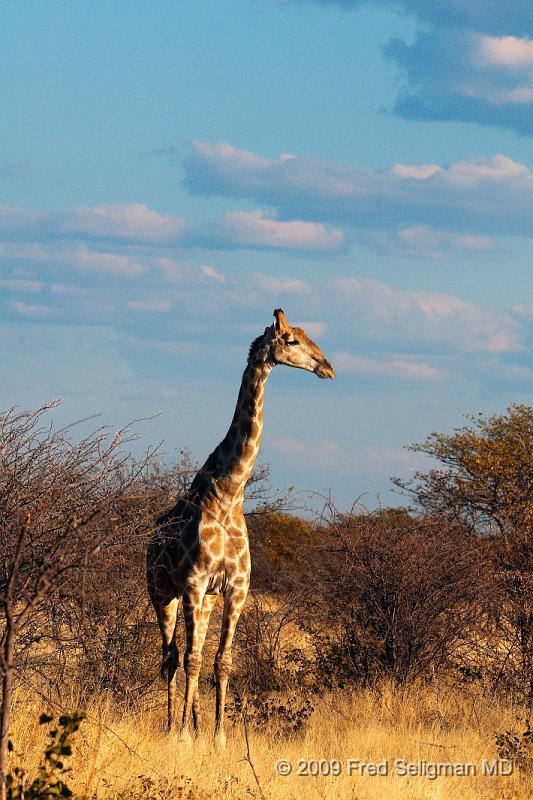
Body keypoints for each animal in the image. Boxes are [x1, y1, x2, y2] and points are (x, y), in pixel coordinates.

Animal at [147, 308, 332, 744]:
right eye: (291, 340)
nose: (327, 368)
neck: (229, 493)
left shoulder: (236, 589)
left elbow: (222, 661)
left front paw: (217, 736)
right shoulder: (194, 582)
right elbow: (192, 659)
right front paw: (184, 737)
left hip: (205, 602)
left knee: (188, 655)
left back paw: (195, 723)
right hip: (163, 594)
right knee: (170, 657)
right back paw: (172, 726)